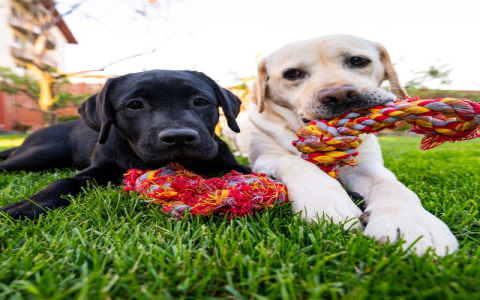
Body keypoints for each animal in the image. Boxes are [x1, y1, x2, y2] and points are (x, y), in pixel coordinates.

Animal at [0, 69, 253, 219]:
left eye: (201, 102)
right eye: (134, 105)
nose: (179, 137)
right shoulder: (97, 168)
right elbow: (63, 182)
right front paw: (25, 206)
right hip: (45, 152)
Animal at [249, 34, 460, 255]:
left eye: (358, 61)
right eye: (292, 74)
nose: (339, 94)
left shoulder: (365, 166)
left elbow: (390, 184)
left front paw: (412, 222)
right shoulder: (264, 157)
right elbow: (292, 161)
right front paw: (327, 204)